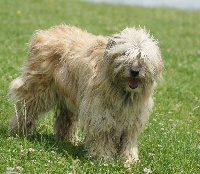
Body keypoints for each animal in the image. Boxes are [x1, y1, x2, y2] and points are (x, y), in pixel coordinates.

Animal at [8, 24, 163, 164]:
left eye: (143, 56)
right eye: (125, 53)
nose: (135, 71)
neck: (122, 91)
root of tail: (43, 33)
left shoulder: (132, 118)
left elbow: (128, 140)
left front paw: (129, 160)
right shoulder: (101, 114)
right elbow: (103, 137)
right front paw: (103, 158)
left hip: (68, 96)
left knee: (65, 119)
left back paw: (66, 140)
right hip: (37, 89)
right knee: (25, 107)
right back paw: (18, 130)